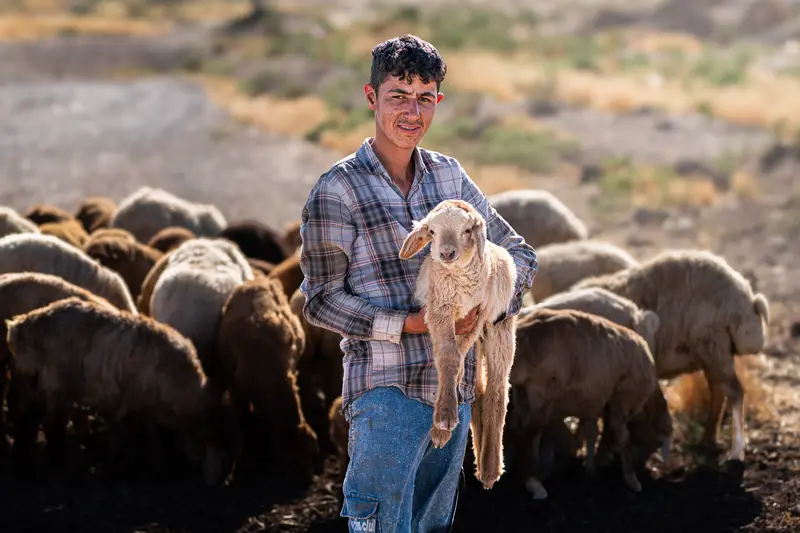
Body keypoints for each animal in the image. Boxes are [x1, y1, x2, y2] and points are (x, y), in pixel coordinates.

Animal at [4, 297, 237, 485]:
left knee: (30, 415)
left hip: (37, 380)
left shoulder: (137, 407)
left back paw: (23, 460)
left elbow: (141, 435)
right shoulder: (133, 402)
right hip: (58, 382)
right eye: (225, 452)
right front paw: (126, 467)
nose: (221, 480)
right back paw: (57, 463)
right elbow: (134, 435)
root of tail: (24, 324)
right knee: (50, 422)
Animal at [216, 276, 320, 485]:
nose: (310, 479)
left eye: (312, 453)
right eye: (292, 458)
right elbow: (241, 420)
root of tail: (259, 281)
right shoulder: (236, 387)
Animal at [399, 198, 517, 490]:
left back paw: (490, 467)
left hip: (500, 330)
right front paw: (443, 422)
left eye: (466, 230)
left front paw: (443, 419)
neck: (459, 282)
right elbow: (449, 359)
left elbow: (452, 359)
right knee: (479, 390)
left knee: (497, 391)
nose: (446, 253)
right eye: (431, 231)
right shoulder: (439, 311)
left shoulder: (476, 316)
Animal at [509, 308, 671, 499]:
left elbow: (591, 432)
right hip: (541, 391)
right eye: (656, 445)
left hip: (523, 393)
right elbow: (623, 438)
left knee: (524, 431)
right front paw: (631, 479)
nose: (643, 469)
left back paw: (531, 471)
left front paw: (590, 470)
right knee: (524, 434)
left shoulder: (592, 401)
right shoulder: (622, 399)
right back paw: (534, 483)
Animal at [572, 249, 770, 462]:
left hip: (712, 344)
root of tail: (747, 297)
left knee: (734, 392)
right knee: (718, 391)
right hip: (713, 351)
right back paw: (707, 441)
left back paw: (736, 451)